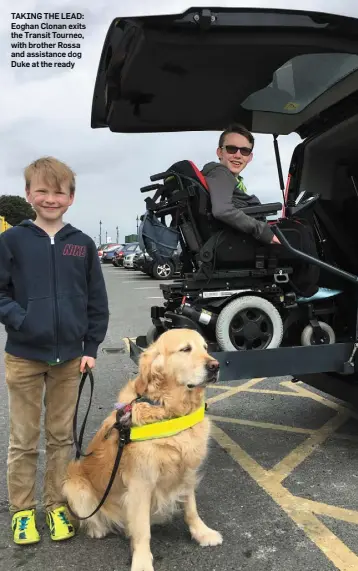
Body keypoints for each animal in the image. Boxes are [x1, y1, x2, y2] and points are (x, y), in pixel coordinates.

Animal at [63, 328, 222, 571]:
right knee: (89, 515)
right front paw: (142, 561)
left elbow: (191, 509)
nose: (215, 365)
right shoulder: (140, 483)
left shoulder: (187, 471)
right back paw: (98, 528)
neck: (168, 410)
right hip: (74, 482)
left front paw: (202, 533)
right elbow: (142, 529)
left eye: (206, 348)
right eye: (186, 349)